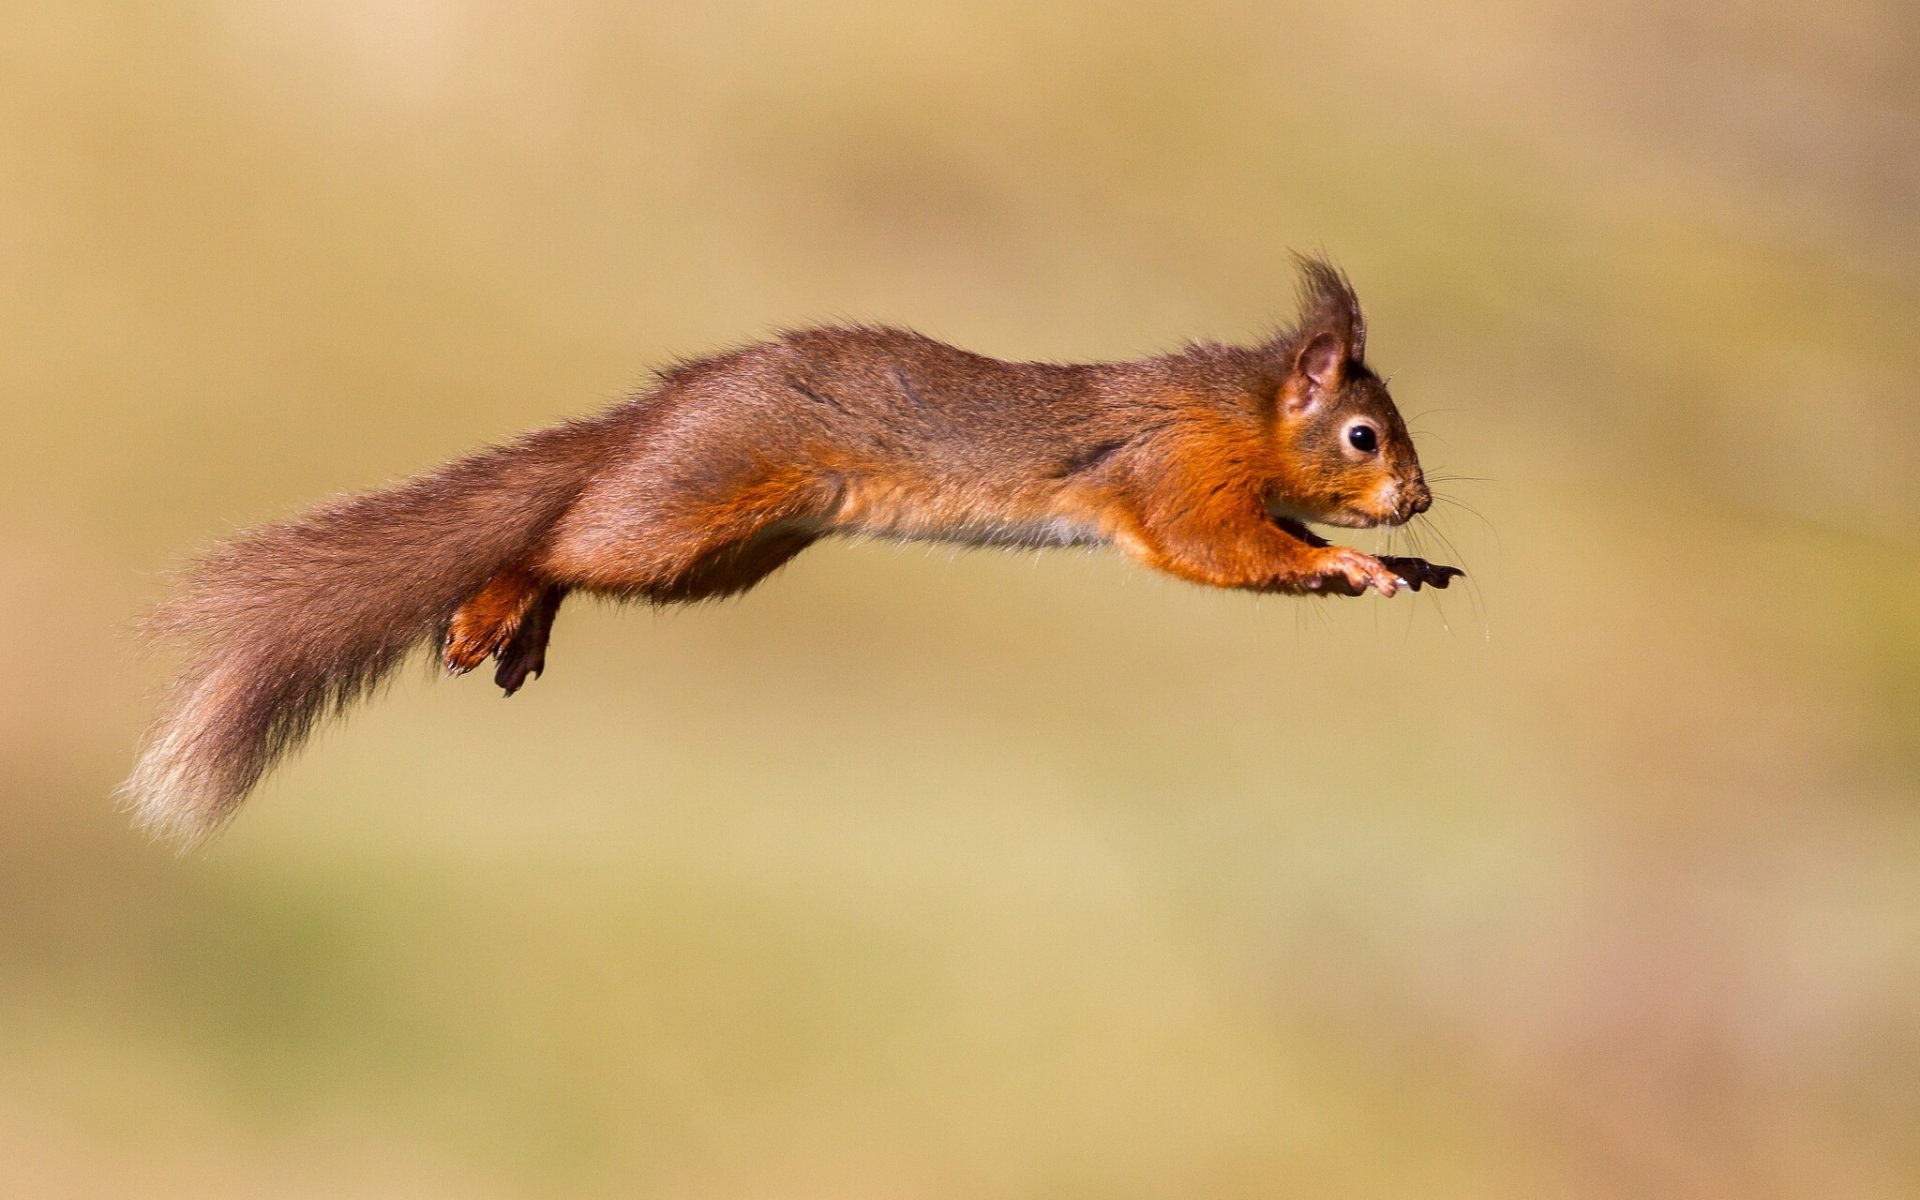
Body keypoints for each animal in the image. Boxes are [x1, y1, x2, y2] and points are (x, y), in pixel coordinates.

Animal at [125, 254, 1461, 845]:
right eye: (1362, 434)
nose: (1419, 499)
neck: (1238, 411)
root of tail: (663, 411)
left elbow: (1264, 541)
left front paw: (1407, 572)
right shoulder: (1171, 476)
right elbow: (1224, 548)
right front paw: (1354, 564)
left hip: (719, 558)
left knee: (579, 552)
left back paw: (524, 622)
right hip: (688, 507)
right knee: (561, 537)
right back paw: (498, 601)